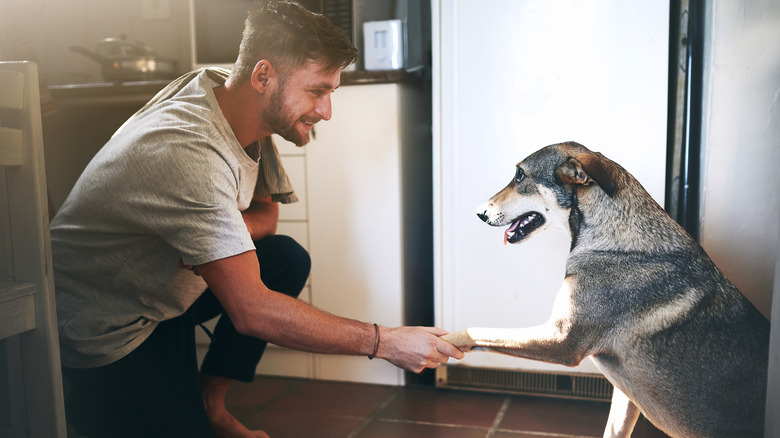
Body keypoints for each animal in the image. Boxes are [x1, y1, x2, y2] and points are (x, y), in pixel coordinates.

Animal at [442, 142, 772, 438]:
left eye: (520, 175)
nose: (479, 213)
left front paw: (442, 342)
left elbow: (476, 331)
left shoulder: (561, 340)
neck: (613, 240)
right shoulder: (626, 395)